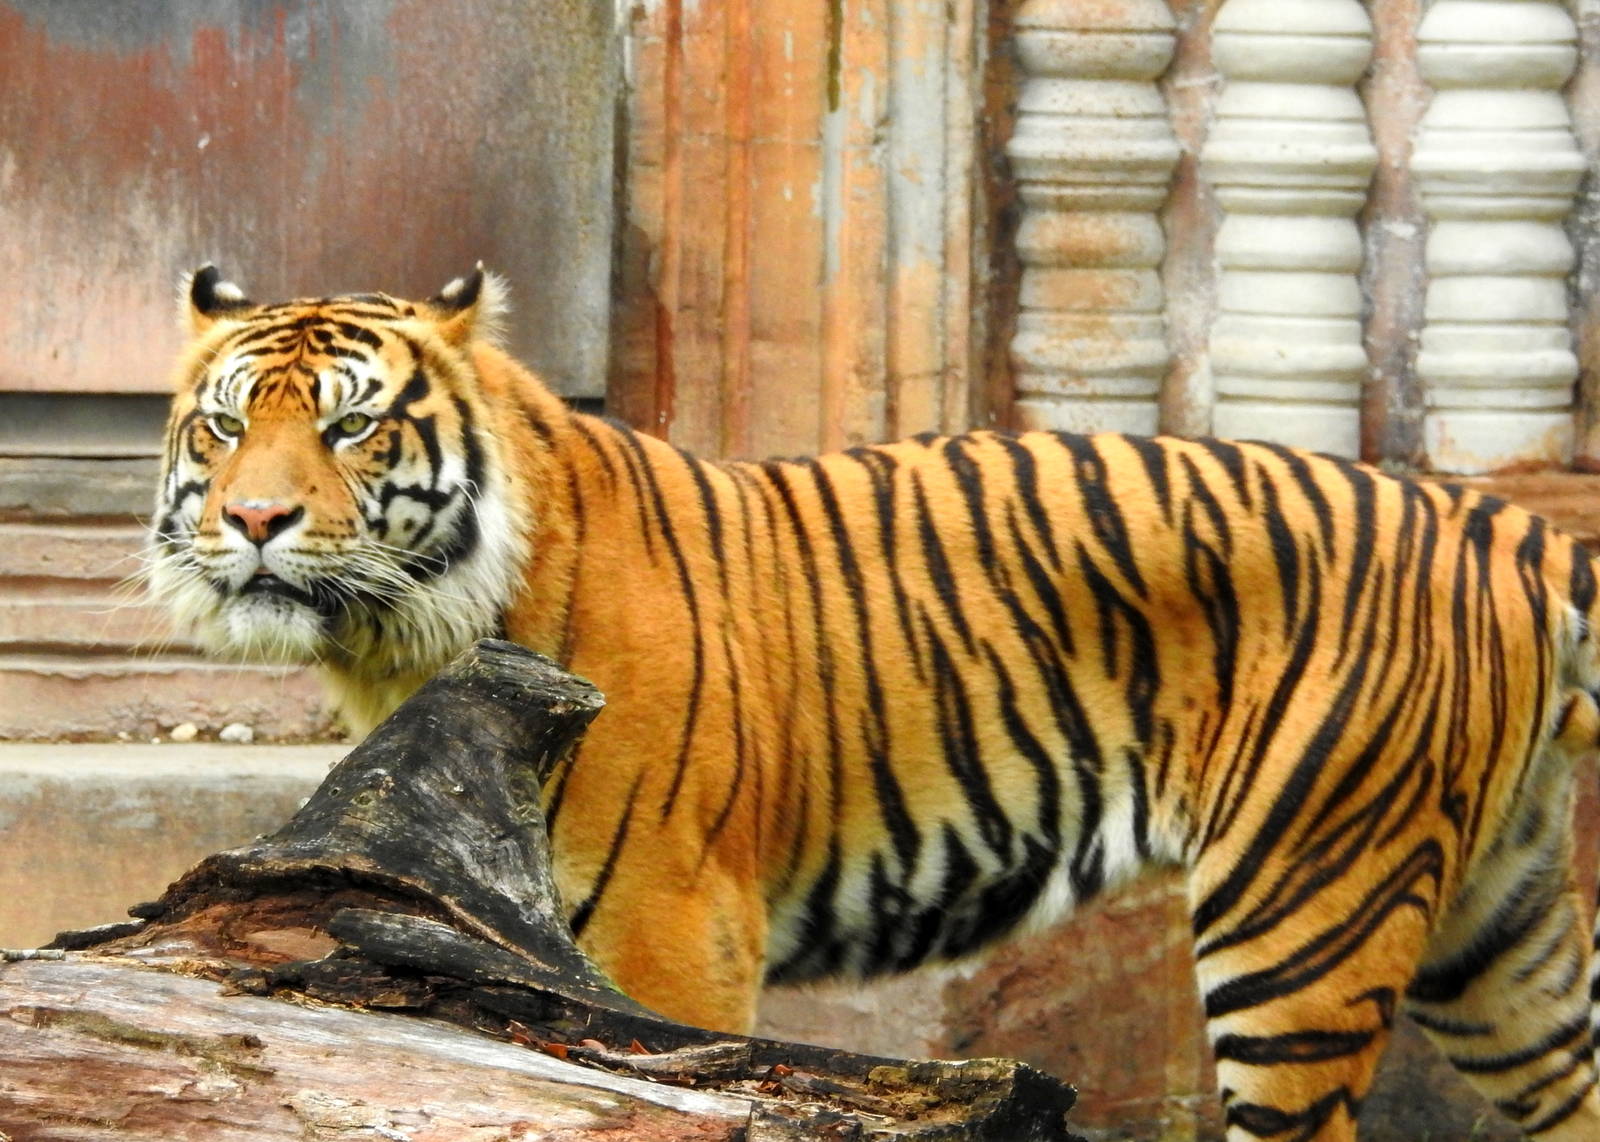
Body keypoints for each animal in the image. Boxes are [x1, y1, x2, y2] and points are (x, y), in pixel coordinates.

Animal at [148, 264, 1600, 1141]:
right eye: (224, 426)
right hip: (1493, 929)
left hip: (1306, 911)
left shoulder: (674, 924)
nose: (255, 520)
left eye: (351, 428)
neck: (401, 639)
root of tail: (1495, 516)